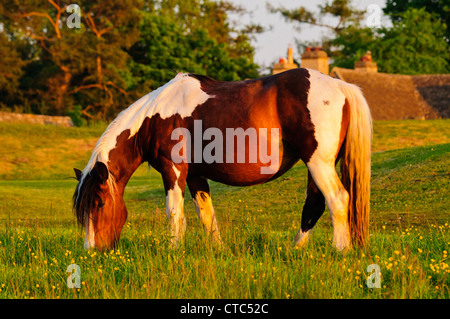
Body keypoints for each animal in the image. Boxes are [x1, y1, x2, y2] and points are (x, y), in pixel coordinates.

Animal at [72, 68, 370, 252]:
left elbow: (174, 212)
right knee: (314, 205)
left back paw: (340, 250)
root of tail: (341, 86)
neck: (154, 117)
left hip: (318, 162)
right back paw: (295, 249)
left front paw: (172, 250)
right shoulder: (195, 175)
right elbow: (206, 214)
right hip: (316, 165)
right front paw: (218, 249)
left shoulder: (173, 171)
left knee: (337, 199)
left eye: (98, 203)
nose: (91, 251)